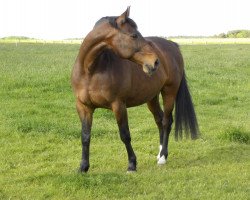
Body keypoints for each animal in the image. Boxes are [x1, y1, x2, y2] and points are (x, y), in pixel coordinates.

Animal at [72, 7, 199, 172]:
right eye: (134, 35)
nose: (155, 62)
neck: (91, 71)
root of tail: (173, 45)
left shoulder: (118, 105)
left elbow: (125, 135)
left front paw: (132, 164)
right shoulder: (84, 107)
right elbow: (85, 136)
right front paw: (83, 167)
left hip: (169, 92)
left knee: (166, 122)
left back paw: (163, 157)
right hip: (152, 97)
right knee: (159, 120)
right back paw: (159, 154)